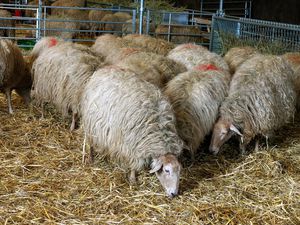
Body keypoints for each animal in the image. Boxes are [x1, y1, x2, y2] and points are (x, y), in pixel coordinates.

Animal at [79, 65, 183, 197]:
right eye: (166, 170)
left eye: (179, 170)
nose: (174, 194)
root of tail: (103, 69)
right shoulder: (131, 146)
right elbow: (134, 165)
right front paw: (133, 180)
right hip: (91, 125)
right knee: (90, 142)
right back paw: (90, 158)